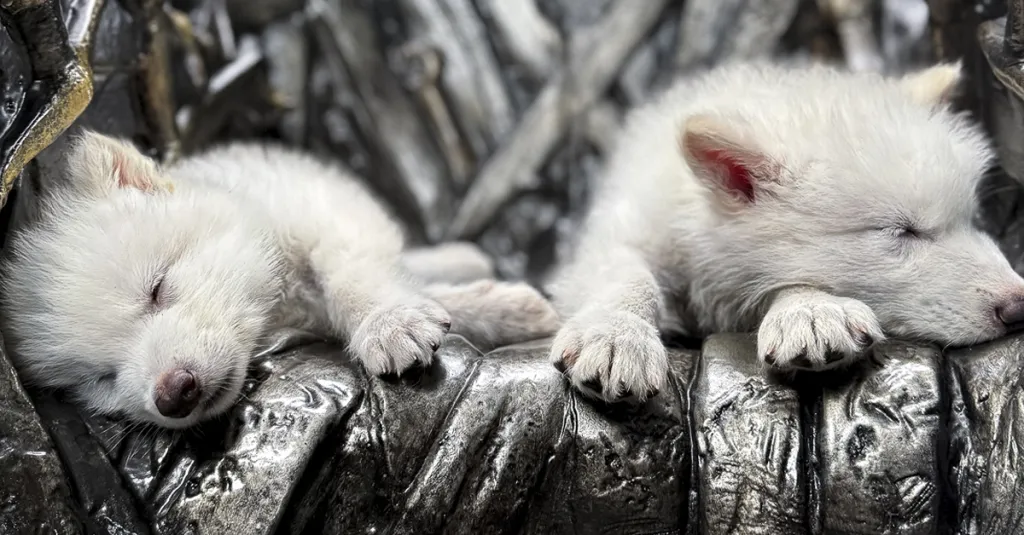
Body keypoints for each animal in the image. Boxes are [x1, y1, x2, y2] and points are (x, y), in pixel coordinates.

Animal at [0, 132, 559, 429]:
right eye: (102, 378)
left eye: (157, 288)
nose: (172, 394)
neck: (276, 306)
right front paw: (502, 310)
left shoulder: (329, 215)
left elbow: (353, 276)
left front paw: (388, 322)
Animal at [547, 60, 1024, 403]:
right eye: (901, 231)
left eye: (971, 221)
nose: (1018, 305)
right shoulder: (624, 231)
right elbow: (627, 274)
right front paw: (615, 333)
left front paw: (810, 310)